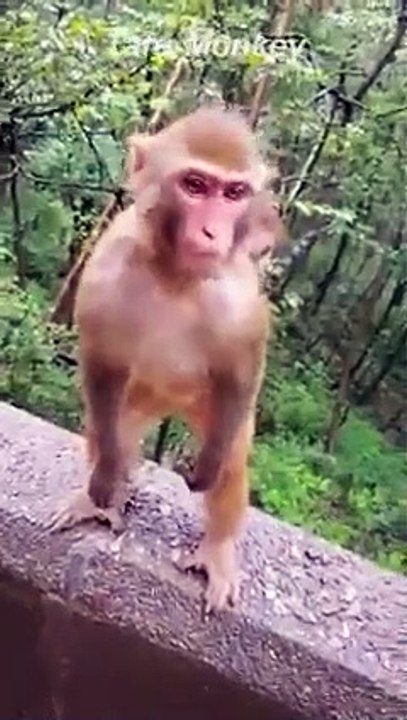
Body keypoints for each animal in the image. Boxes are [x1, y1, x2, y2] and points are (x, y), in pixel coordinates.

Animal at [50, 107, 283, 612]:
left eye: (234, 193)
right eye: (194, 185)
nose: (213, 232)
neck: (176, 273)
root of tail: (168, 404)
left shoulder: (235, 290)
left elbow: (242, 367)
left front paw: (207, 470)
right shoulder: (108, 265)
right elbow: (101, 359)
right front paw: (104, 482)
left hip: (205, 404)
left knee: (233, 456)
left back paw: (216, 549)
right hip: (138, 398)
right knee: (110, 428)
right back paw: (102, 498)